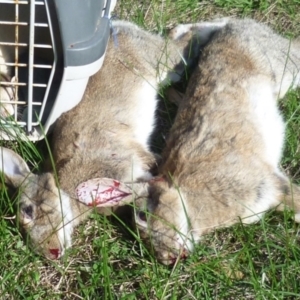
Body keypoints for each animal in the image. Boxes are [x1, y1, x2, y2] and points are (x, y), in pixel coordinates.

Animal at [100, 17, 300, 264]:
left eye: (144, 215)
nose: (166, 258)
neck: (183, 194)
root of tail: (236, 28)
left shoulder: (267, 183)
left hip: (285, 69)